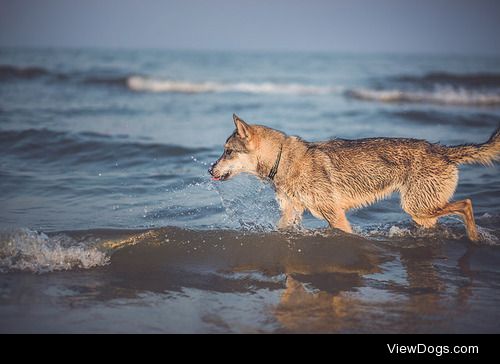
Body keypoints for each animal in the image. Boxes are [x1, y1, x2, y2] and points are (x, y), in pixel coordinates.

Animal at [209, 114, 498, 242]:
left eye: (227, 151)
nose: (210, 170)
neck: (283, 160)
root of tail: (441, 150)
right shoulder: (292, 212)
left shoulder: (335, 214)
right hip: (420, 212)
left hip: (417, 206)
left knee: (467, 204)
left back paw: (475, 237)